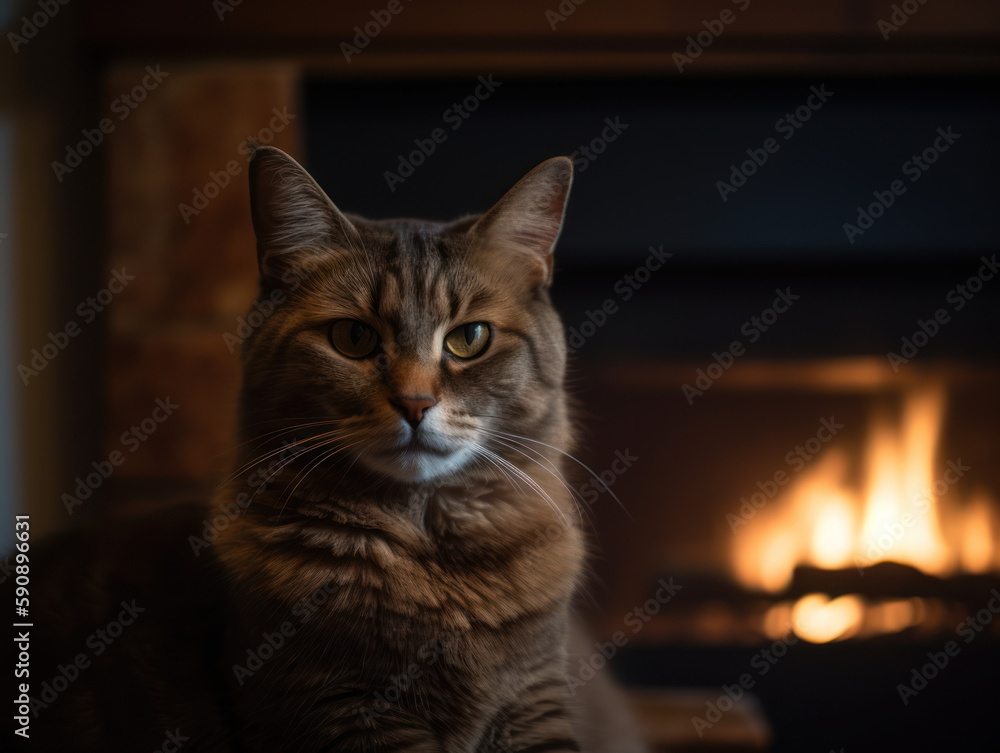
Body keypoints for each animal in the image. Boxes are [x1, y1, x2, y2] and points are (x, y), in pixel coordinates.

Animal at [25, 144, 648, 748]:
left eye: (470, 338)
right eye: (353, 337)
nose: (415, 404)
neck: (433, 562)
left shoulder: (534, 700)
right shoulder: (338, 709)